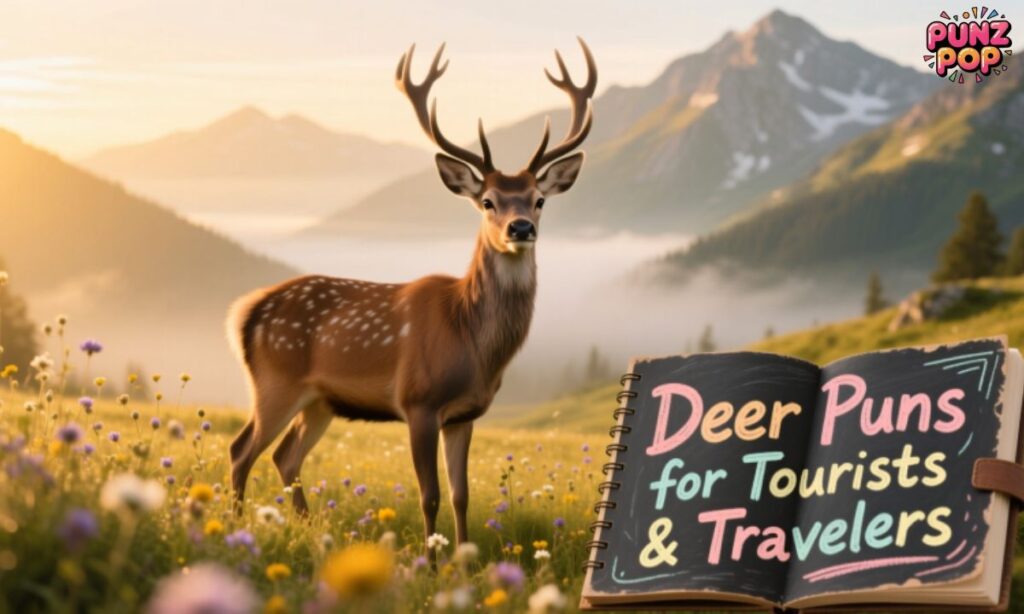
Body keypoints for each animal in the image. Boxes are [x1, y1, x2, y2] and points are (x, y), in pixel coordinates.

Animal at [226, 38, 596, 548]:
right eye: (487, 202)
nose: (520, 228)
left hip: (319, 400)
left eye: (539, 200)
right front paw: (434, 558)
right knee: (241, 449)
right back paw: (236, 527)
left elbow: (461, 495)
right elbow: (430, 496)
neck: (472, 344)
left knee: (286, 456)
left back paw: (307, 530)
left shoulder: (465, 414)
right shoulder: (418, 401)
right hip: (274, 381)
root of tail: (245, 312)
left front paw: (463, 558)